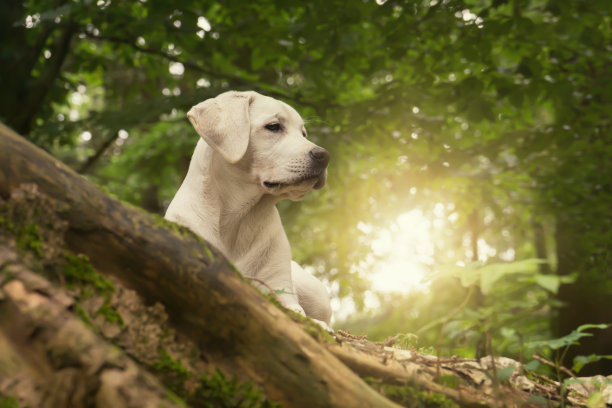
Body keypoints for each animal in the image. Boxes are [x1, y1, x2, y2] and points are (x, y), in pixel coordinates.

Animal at [165, 90, 332, 328]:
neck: (239, 217)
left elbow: (296, 311)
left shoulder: (278, 286)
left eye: (303, 133)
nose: (324, 156)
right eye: (274, 126)